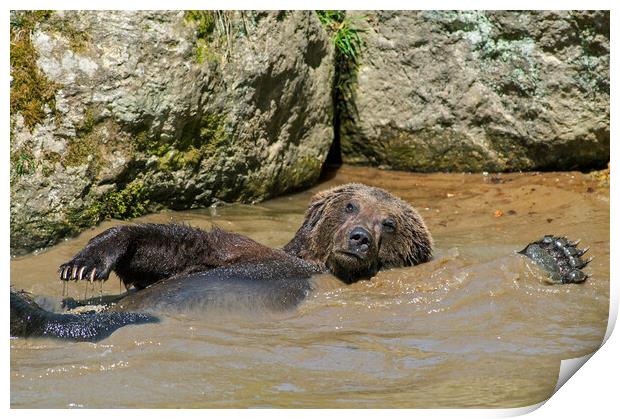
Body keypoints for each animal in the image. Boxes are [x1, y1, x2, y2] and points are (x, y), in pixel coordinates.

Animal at [10, 184, 592, 342]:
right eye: (352, 204)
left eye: (390, 224)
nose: (359, 237)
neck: (322, 268)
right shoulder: (242, 253)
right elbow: (177, 248)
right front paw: (89, 258)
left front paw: (557, 254)